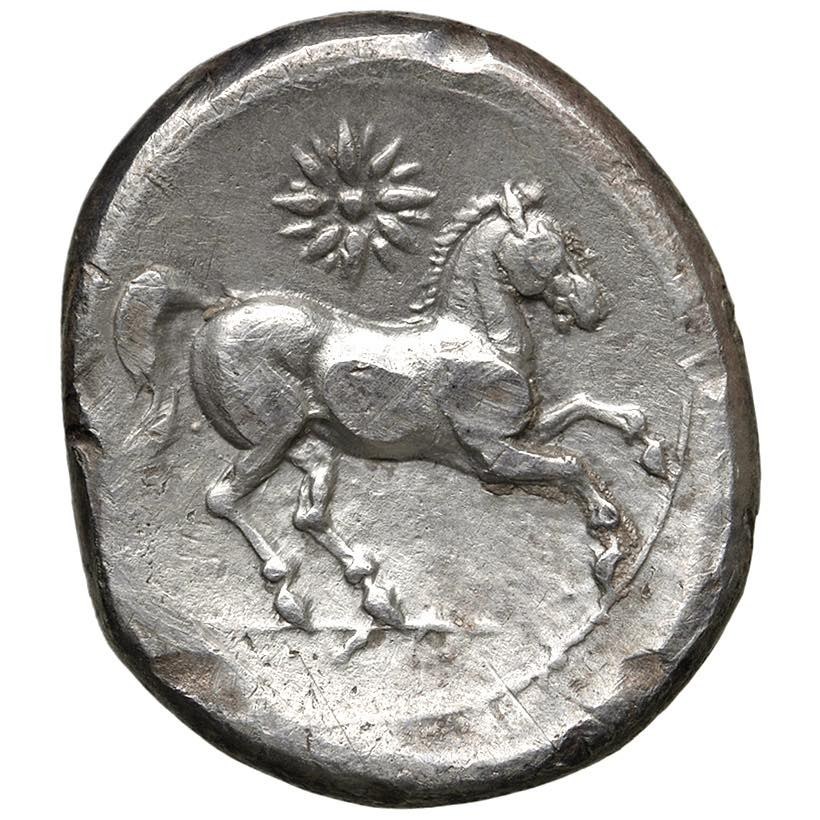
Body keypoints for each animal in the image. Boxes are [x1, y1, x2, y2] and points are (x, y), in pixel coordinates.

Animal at [114, 182, 665, 632]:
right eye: (553, 247)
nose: (596, 307)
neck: (479, 340)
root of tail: (217, 309)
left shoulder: (521, 432)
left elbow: (585, 409)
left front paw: (649, 446)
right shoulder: (491, 458)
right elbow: (573, 465)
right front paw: (606, 542)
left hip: (307, 443)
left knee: (308, 514)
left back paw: (376, 596)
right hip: (271, 435)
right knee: (223, 498)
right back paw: (289, 592)